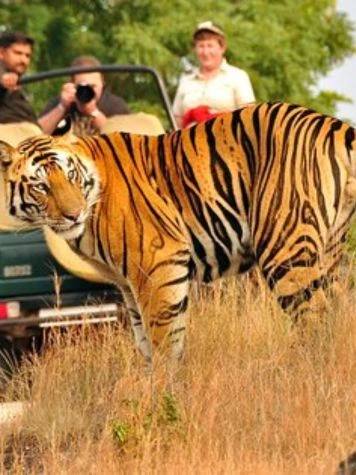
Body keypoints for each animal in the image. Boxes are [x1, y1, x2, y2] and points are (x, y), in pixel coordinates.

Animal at [0, 102, 354, 364]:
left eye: (70, 175)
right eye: (41, 186)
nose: (74, 214)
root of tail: (330, 124)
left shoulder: (158, 263)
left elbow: (163, 343)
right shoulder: (129, 284)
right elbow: (148, 342)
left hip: (283, 249)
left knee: (315, 319)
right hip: (328, 251)